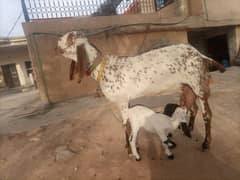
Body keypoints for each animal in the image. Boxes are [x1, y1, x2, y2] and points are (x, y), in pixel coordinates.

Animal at [56, 31, 225, 150]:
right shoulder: (126, 101)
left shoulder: (122, 100)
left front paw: (129, 147)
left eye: (69, 37)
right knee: (192, 107)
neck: (103, 68)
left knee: (207, 115)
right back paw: (188, 129)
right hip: (186, 87)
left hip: (198, 85)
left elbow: (125, 124)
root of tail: (200, 54)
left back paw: (206, 143)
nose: (56, 42)